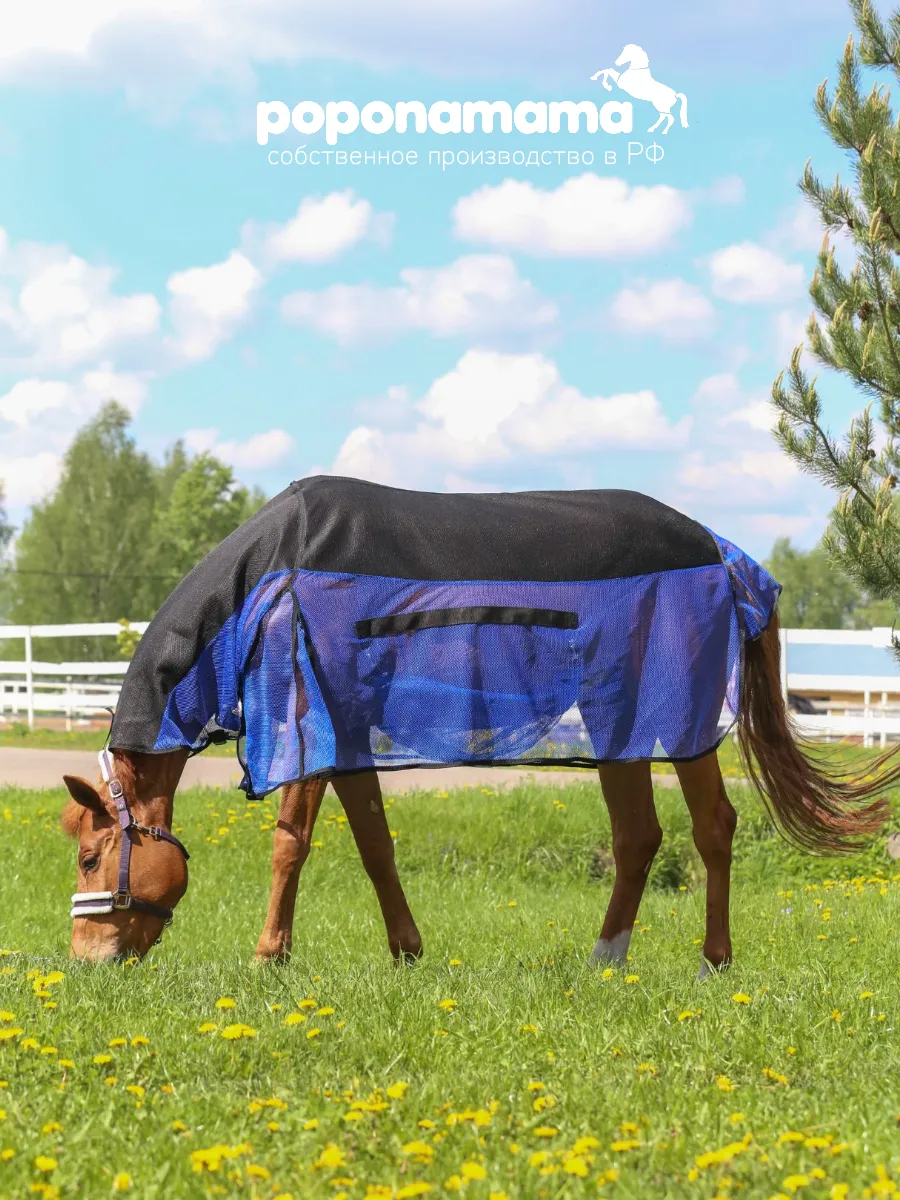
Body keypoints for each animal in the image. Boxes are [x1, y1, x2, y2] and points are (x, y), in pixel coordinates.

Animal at [60, 479, 897, 969]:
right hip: (615, 721)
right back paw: (604, 960)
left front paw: (270, 957)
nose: (86, 959)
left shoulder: (308, 726)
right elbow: (374, 845)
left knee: (713, 826)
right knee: (638, 837)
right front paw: (406, 951)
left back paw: (713, 959)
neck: (271, 584)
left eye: (91, 857)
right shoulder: (346, 735)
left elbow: (290, 843)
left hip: (675, 716)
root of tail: (720, 552)